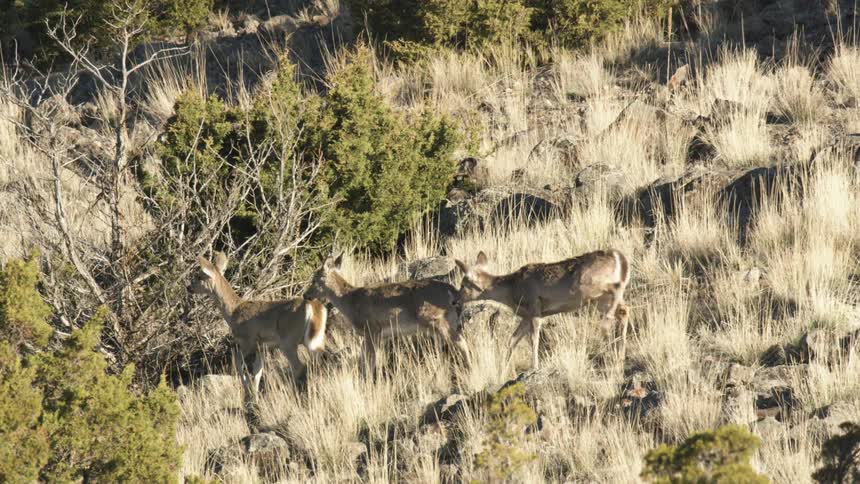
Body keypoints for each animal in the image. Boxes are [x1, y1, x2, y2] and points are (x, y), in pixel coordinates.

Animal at [188, 252, 328, 395]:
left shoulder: (247, 340)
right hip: (316, 338)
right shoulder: (262, 347)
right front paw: (253, 393)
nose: (189, 288)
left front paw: (246, 387)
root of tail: (314, 307)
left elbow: (238, 363)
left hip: (288, 340)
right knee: (319, 360)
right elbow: (257, 373)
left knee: (299, 366)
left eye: (199, 276)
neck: (233, 311)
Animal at [304, 254, 469, 375]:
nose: (306, 295)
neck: (350, 301)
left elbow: (371, 361)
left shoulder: (372, 329)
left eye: (314, 280)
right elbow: (364, 359)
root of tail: (453, 292)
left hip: (435, 319)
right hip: (446, 322)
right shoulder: (372, 335)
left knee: (460, 341)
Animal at [455, 249, 631, 371]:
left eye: (463, 285)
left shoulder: (534, 308)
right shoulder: (526, 316)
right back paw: (620, 357)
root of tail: (619, 257)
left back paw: (606, 325)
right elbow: (512, 340)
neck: (511, 290)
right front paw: (504, 368)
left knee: (617, 289)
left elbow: (534, 339)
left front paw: (534, 366)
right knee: (624, 310)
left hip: (590, 286)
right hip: (599, 299)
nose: (455, 301)